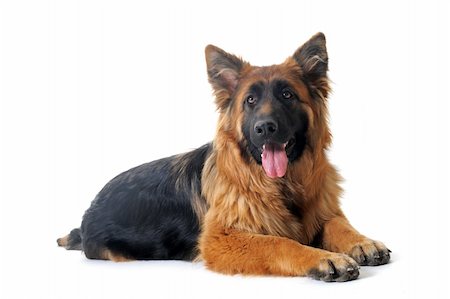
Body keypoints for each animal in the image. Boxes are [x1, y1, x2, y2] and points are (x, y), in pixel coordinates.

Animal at [58, 34, 390, 282]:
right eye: (250, 100)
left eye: (287, 95)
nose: (265, 128)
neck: (281, 185)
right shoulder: (222, 239)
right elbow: (278, 242)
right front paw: (323, 258)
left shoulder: (322, 209)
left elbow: (338, 224)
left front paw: (362, 241)